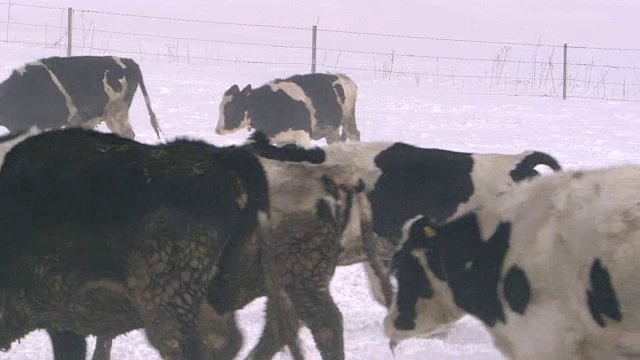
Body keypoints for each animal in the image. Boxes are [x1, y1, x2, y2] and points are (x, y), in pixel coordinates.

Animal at [216, 72, 360, 147]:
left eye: (232, 109)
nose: (217, 130)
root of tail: (345, 78)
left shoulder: (302, 136)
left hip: (348, 118)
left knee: (355, 135)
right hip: (331, 129)